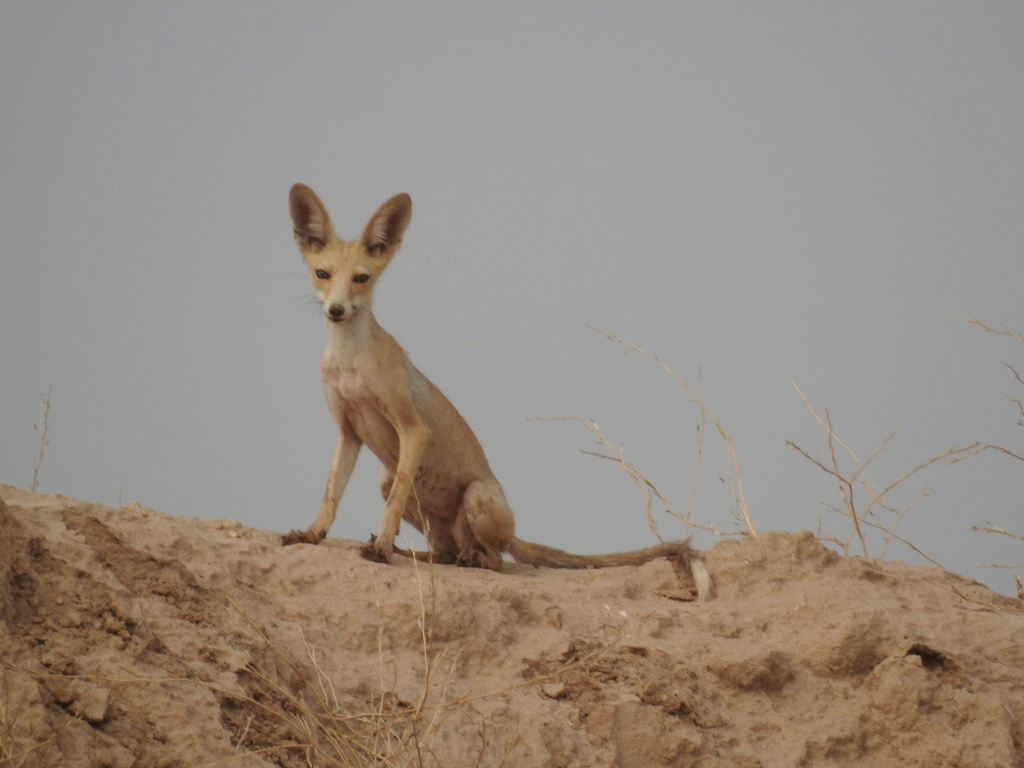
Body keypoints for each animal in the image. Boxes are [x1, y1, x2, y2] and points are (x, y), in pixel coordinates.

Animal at [282, 185, 712, 602]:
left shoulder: (413, 429)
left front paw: (381, 548)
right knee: (445, 553)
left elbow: (391, 505)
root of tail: (507, 533)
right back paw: (422, 553)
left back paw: (465, 557)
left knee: (495, 559)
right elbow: (330, 496)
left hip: (476, 497)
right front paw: (312, 534)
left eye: (362, 278)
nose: (336, 310)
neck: (349, 361)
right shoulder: (348, 431)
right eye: (322, 273)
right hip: (395, 487)